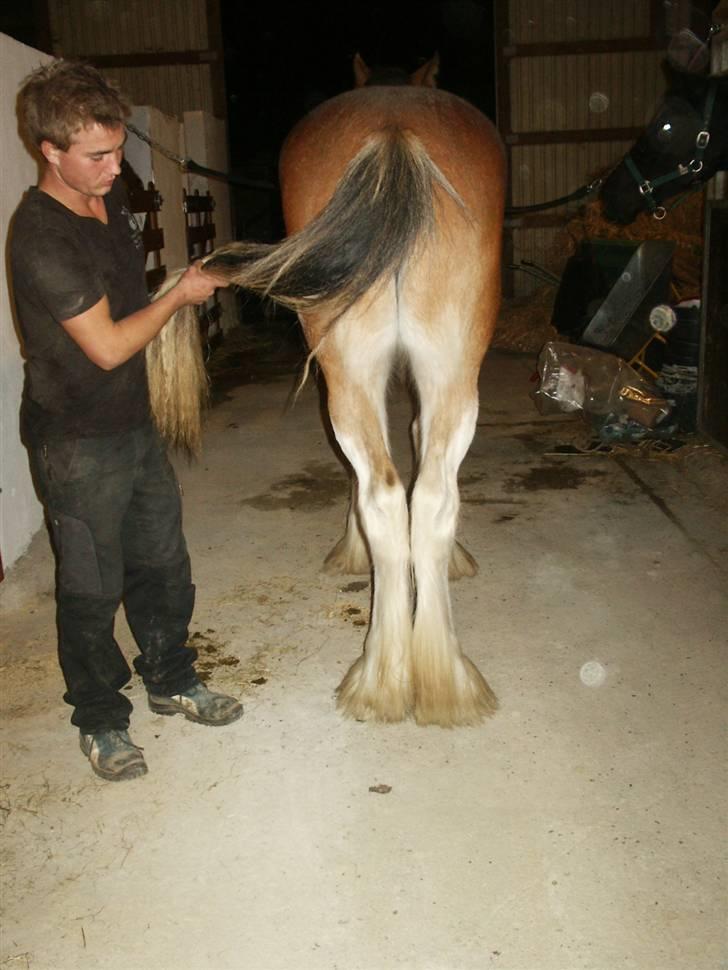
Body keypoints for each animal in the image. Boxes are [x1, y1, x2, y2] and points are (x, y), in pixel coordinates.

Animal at [150, 56, 506, 728]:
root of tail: (394, 131)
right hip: (436, 371)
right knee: (414, 496)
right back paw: (420, 680)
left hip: (386, 369)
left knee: (399, 497)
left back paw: (402, 682)